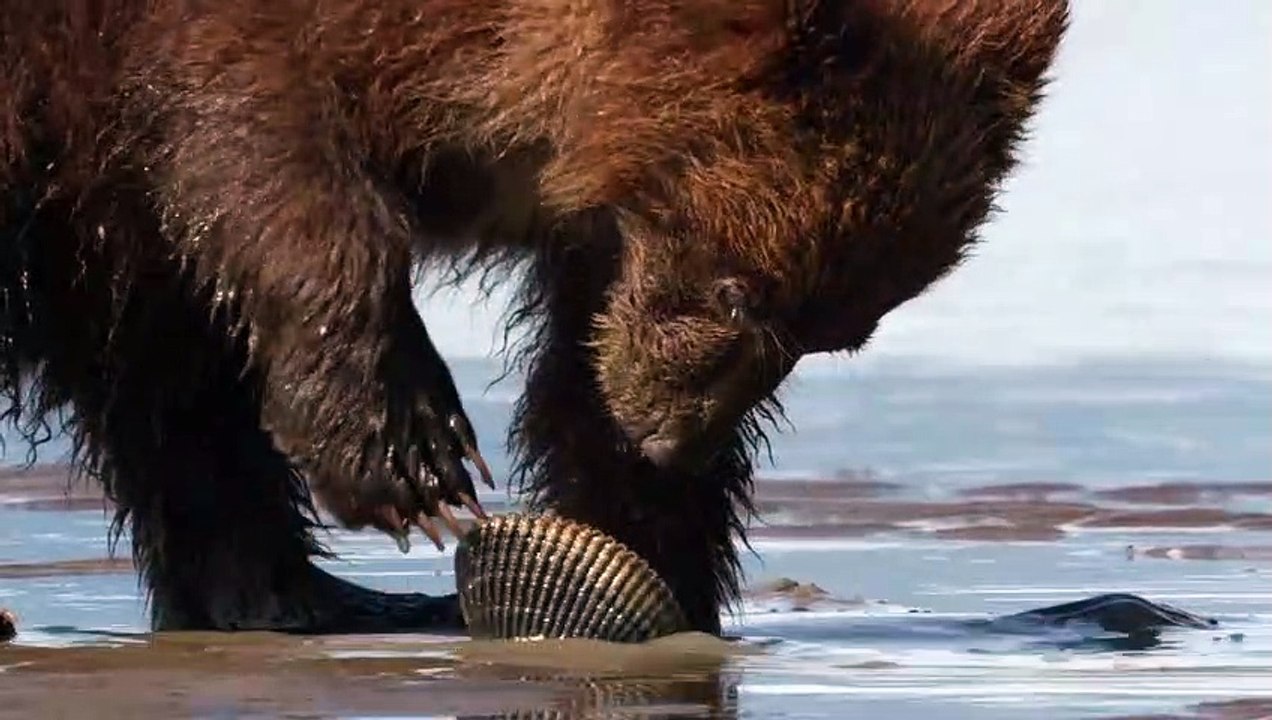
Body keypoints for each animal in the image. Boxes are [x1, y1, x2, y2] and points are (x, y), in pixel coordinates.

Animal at [1, 0, 1069, 635]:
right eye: (741, 292)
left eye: (832, 334)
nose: (672, 441)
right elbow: (253, 140)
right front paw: (414, 460)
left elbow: (579, 351)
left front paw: (646, 546)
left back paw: (303, 596)